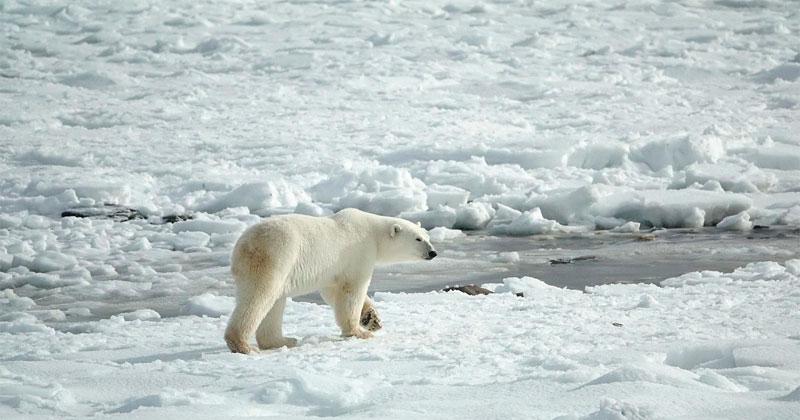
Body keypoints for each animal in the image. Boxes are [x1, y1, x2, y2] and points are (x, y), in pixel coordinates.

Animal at [223, 208, 438, 352]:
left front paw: (371, 319)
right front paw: (359, 331)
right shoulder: (358, 253)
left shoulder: (333, 269)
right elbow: (352, 290)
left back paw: (284, 340)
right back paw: (243, 345)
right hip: (275, 256)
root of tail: (243, 245)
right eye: (418, 239)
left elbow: (333, 292)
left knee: (274, 302)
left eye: (427, 236)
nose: (433, 252)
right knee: (259, 297)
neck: (373, 233)